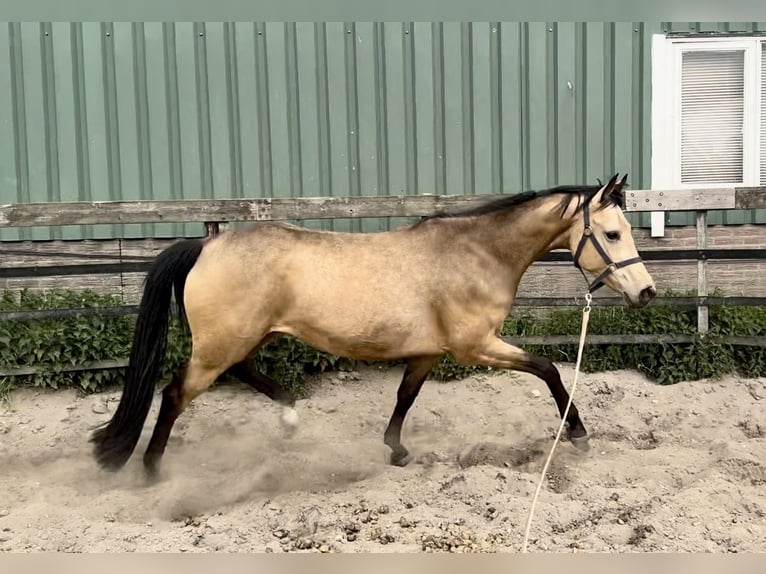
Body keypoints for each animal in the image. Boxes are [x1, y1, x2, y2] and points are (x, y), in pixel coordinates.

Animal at [91, 173, 656, 477]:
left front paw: (397, 450)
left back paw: (290, 416)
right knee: (174, 395)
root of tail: (205, 246)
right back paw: (152, 471)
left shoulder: (428, 352)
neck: (475, 254)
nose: (646, 292)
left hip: (242, 338)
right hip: (218, 347)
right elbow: (549, 368)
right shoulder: (475, 346)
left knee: (243, 373)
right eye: (612, 233)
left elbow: (405, 396)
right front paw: (578, 435)